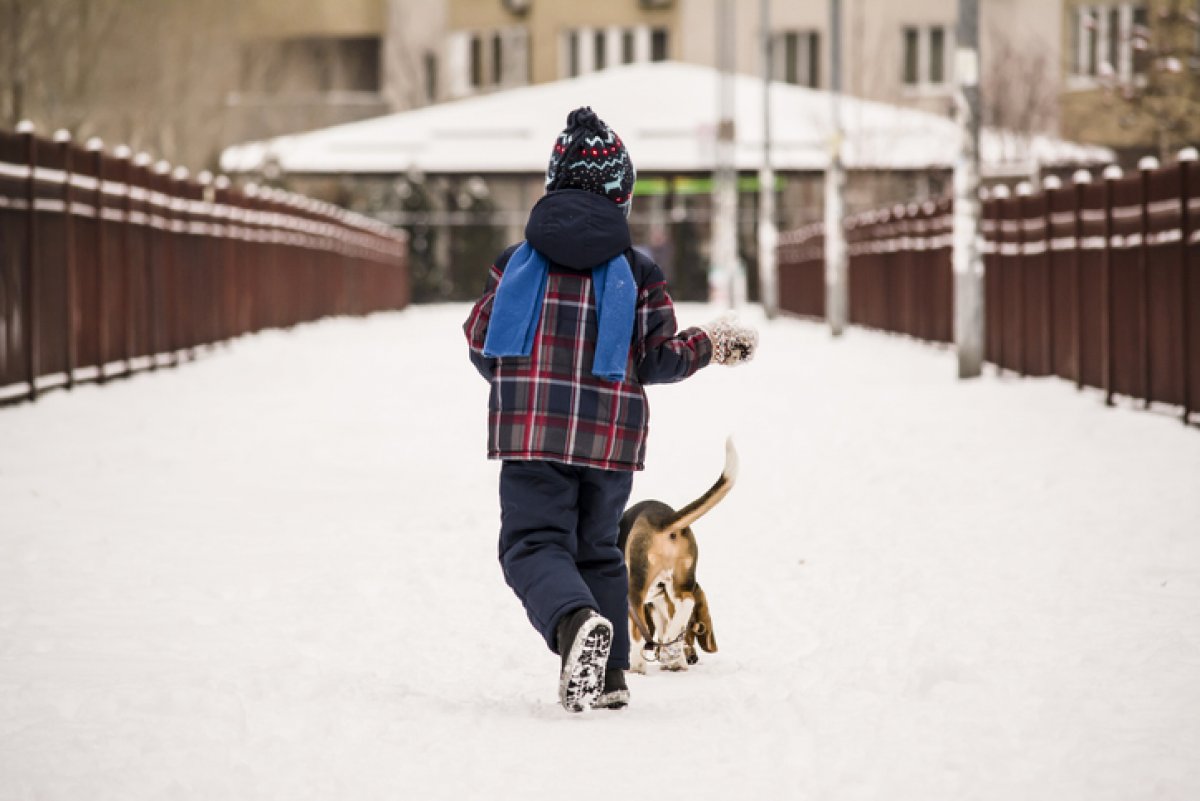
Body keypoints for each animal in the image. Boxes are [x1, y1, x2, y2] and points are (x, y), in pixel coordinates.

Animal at [624, 438, 734, 671]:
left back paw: (638, 666)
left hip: (637, 584)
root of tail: (663, 520)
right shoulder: (660, 603)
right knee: (686, 601)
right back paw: (672, 651)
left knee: (638, 629)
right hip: (681, 580)